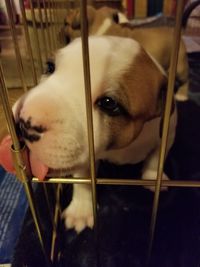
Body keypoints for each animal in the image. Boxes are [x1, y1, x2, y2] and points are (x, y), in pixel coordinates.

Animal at [8, 35, 177, 232]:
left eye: (109, 103)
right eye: (50, 67)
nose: (23, 123)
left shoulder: (169, 130)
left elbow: (157, 156)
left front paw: (153, 177)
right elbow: (84, 180)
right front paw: (80, 211)